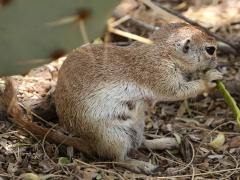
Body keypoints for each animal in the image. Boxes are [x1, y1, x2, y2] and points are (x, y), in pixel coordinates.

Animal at [54, 22, 223, 174]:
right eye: (210, 50)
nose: (217, 62)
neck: (163, 51)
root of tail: (89, 143)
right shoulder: (161, 75)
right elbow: (178, 91)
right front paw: (210, 78)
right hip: (114, 136)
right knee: (118, 159)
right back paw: (142, 165)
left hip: (138, 123)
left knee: (141, 143)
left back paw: (165, 142)